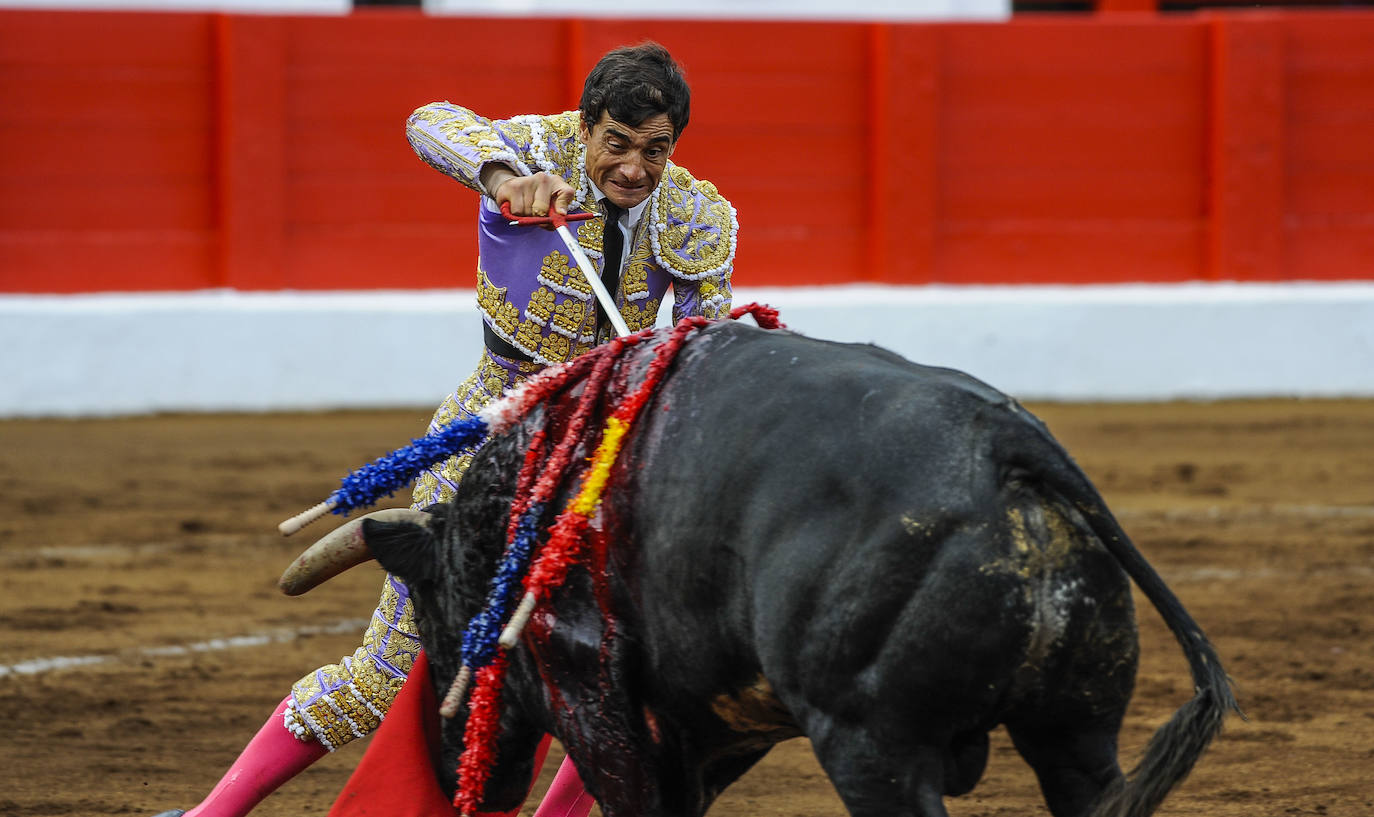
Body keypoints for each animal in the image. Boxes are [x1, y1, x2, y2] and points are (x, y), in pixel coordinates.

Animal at [284, 319, 1242, 817]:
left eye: (438, 616)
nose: (457, 776)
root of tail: (1008, 443)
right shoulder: (717, 717)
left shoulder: (588, 684)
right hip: (1077, 730)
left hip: (871, 743)